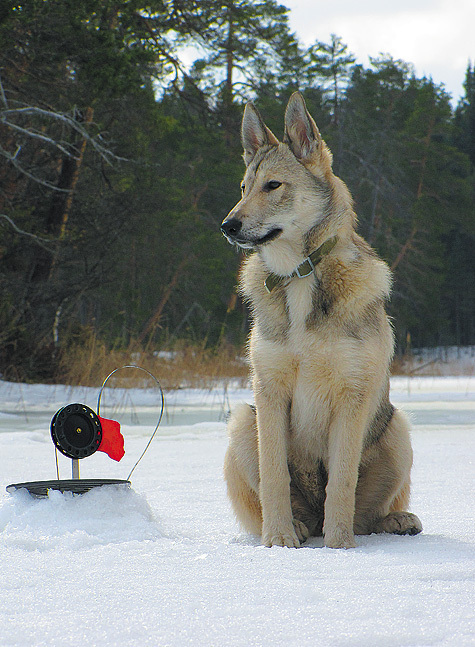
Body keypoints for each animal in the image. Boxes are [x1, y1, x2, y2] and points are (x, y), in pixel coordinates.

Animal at [221, 91, 422, 548]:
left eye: (273, 185)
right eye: (243, 188)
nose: (228, 225)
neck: (299, 275)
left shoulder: (351, 394)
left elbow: (342, 482)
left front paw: (339, 545)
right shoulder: (269, 390)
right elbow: (274, 476)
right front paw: (278, 538)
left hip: (398, 428)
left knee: (368, 514)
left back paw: (394, 521)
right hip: (242, 421)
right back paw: (295, 527)